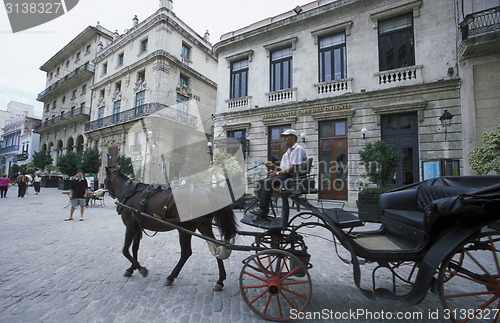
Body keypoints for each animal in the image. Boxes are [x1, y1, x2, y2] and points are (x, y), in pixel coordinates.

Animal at [104, 167, 238, 292]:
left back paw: (171, 277)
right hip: (203, 226)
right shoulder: (137, 227)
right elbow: (134, 249)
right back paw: (220, 280)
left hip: (185, 229)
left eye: (105, 181)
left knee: (186, 252)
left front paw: (141, 269)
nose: (107, 191)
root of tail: (208, 194)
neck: (130, 193)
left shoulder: (130, 226)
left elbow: (125, 250)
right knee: (216, 248)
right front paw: (132, 268)